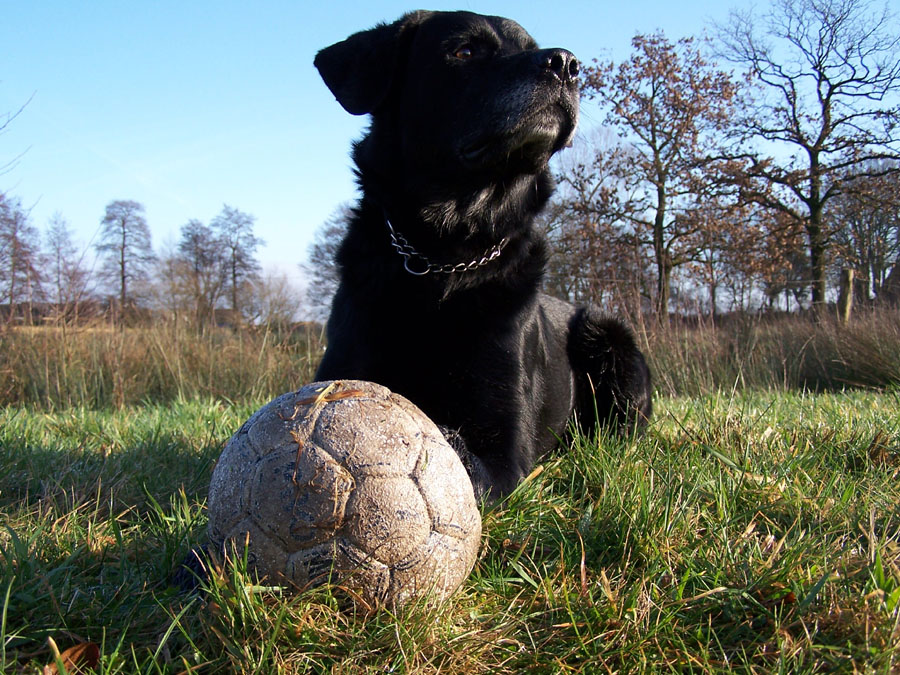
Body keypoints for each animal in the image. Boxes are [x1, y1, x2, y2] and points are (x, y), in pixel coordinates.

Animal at [312, 7, 652, 500]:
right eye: (464, 51)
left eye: (533, 47)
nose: (566, 64)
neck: (443, 259)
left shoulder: (503, 447)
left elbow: (462, 463)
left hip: (609, 340)